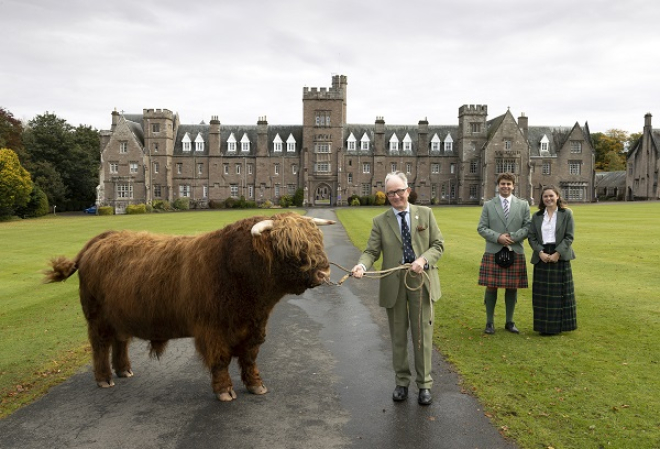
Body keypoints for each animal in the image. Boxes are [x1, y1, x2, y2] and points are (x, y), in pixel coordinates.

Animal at [45, 212, 336, 400]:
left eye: (317, 241)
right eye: (291, 247)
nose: (324, 272)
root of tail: (101, 239)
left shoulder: (255, 326)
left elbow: (249, 357)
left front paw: (256, 385)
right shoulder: (212, 329)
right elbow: (220, 360)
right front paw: (224, 391)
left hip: (120, 315)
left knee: (120, 341)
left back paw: (124, 370)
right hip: (97, 318)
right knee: (100, 346)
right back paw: (105, 379)